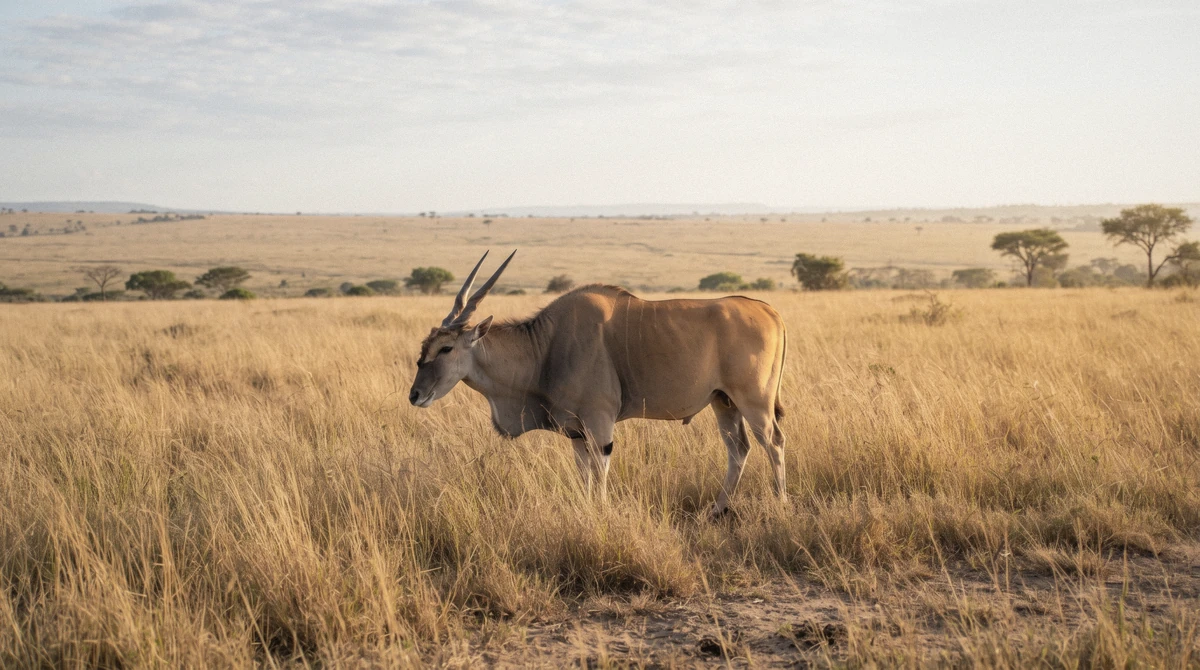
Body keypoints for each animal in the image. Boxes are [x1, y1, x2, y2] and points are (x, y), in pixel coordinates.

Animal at [408, 250, 788, 516]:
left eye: (446, 348)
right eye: (424, 347)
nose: (415, 395)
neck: (546, 346)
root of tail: (771, 311)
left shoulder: (600, 423)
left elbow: (600, 471)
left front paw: (602, 515)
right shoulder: (577, 432)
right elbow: (584, 475)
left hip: (754, 402)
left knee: (774, 443)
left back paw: (781, 504)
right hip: (723, 402)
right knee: (738, 449)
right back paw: (717, 510)